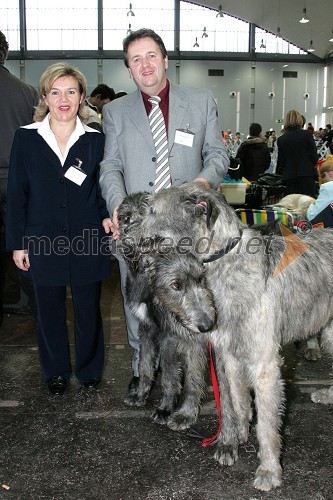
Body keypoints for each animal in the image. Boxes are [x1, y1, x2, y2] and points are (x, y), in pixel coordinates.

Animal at [116, 193, 215, 432]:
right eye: (125, 218)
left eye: (146, 215)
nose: (129, 242)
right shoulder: (147, 328)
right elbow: (145, 365)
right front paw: (140, 395)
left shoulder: (170, 336)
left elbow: (170, 376)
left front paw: (165, 409)